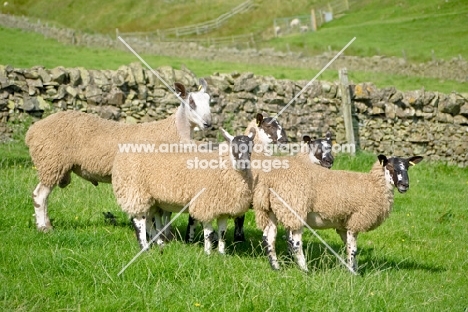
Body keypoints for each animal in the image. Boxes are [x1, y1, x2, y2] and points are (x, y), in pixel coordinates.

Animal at [23, 79, 210, 233]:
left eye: (210, 102)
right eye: (191, 103)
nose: (208, 123)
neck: (175, 131)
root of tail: (32, 131)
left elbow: (164, 212)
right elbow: (163, 212)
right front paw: (164, 234)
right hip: (51, 162)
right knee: (39, 195)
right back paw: (44, 228)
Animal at [110, 128, 256, 255]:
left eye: (251, 148)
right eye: (234, 147)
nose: (244, 163)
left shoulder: (223, 208)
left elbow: (222, 233)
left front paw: (221, 254)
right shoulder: (205, 204)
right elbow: (208, 233)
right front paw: (208, 253)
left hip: (151, 199)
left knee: (148, 222)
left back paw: (160, 243)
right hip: (135, 191)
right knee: (138, 221)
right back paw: (145, 248)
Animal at [254, 154, 422, 272]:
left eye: (407, 167)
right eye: (391, 167)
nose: (404, 185)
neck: (373, 185)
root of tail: (268, 181)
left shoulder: (344, 224)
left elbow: (348, 247)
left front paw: (353, 269)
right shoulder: (356, 219)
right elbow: (353, 249)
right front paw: (353, 273)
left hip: (269, 210)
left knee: (269, 238)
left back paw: (276, 268)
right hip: (295, 208)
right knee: (295, 243)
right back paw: (305, 270)